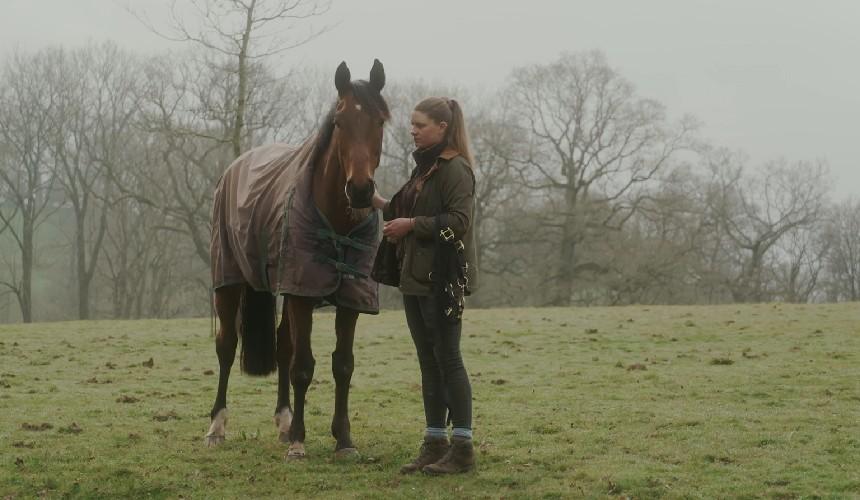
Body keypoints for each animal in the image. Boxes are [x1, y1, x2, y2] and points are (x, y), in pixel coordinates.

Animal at [205, 60, 389, 460]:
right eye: (339, 122)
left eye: (381, 121)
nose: (361, 190)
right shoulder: (302, 295)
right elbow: (303, 367)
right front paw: (300, 443)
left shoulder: (348, 299)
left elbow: (342, 365)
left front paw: (343, 440)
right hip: (229, 282)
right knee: (226, 347)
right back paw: (217, 426)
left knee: (282, 346)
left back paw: (284, 420)